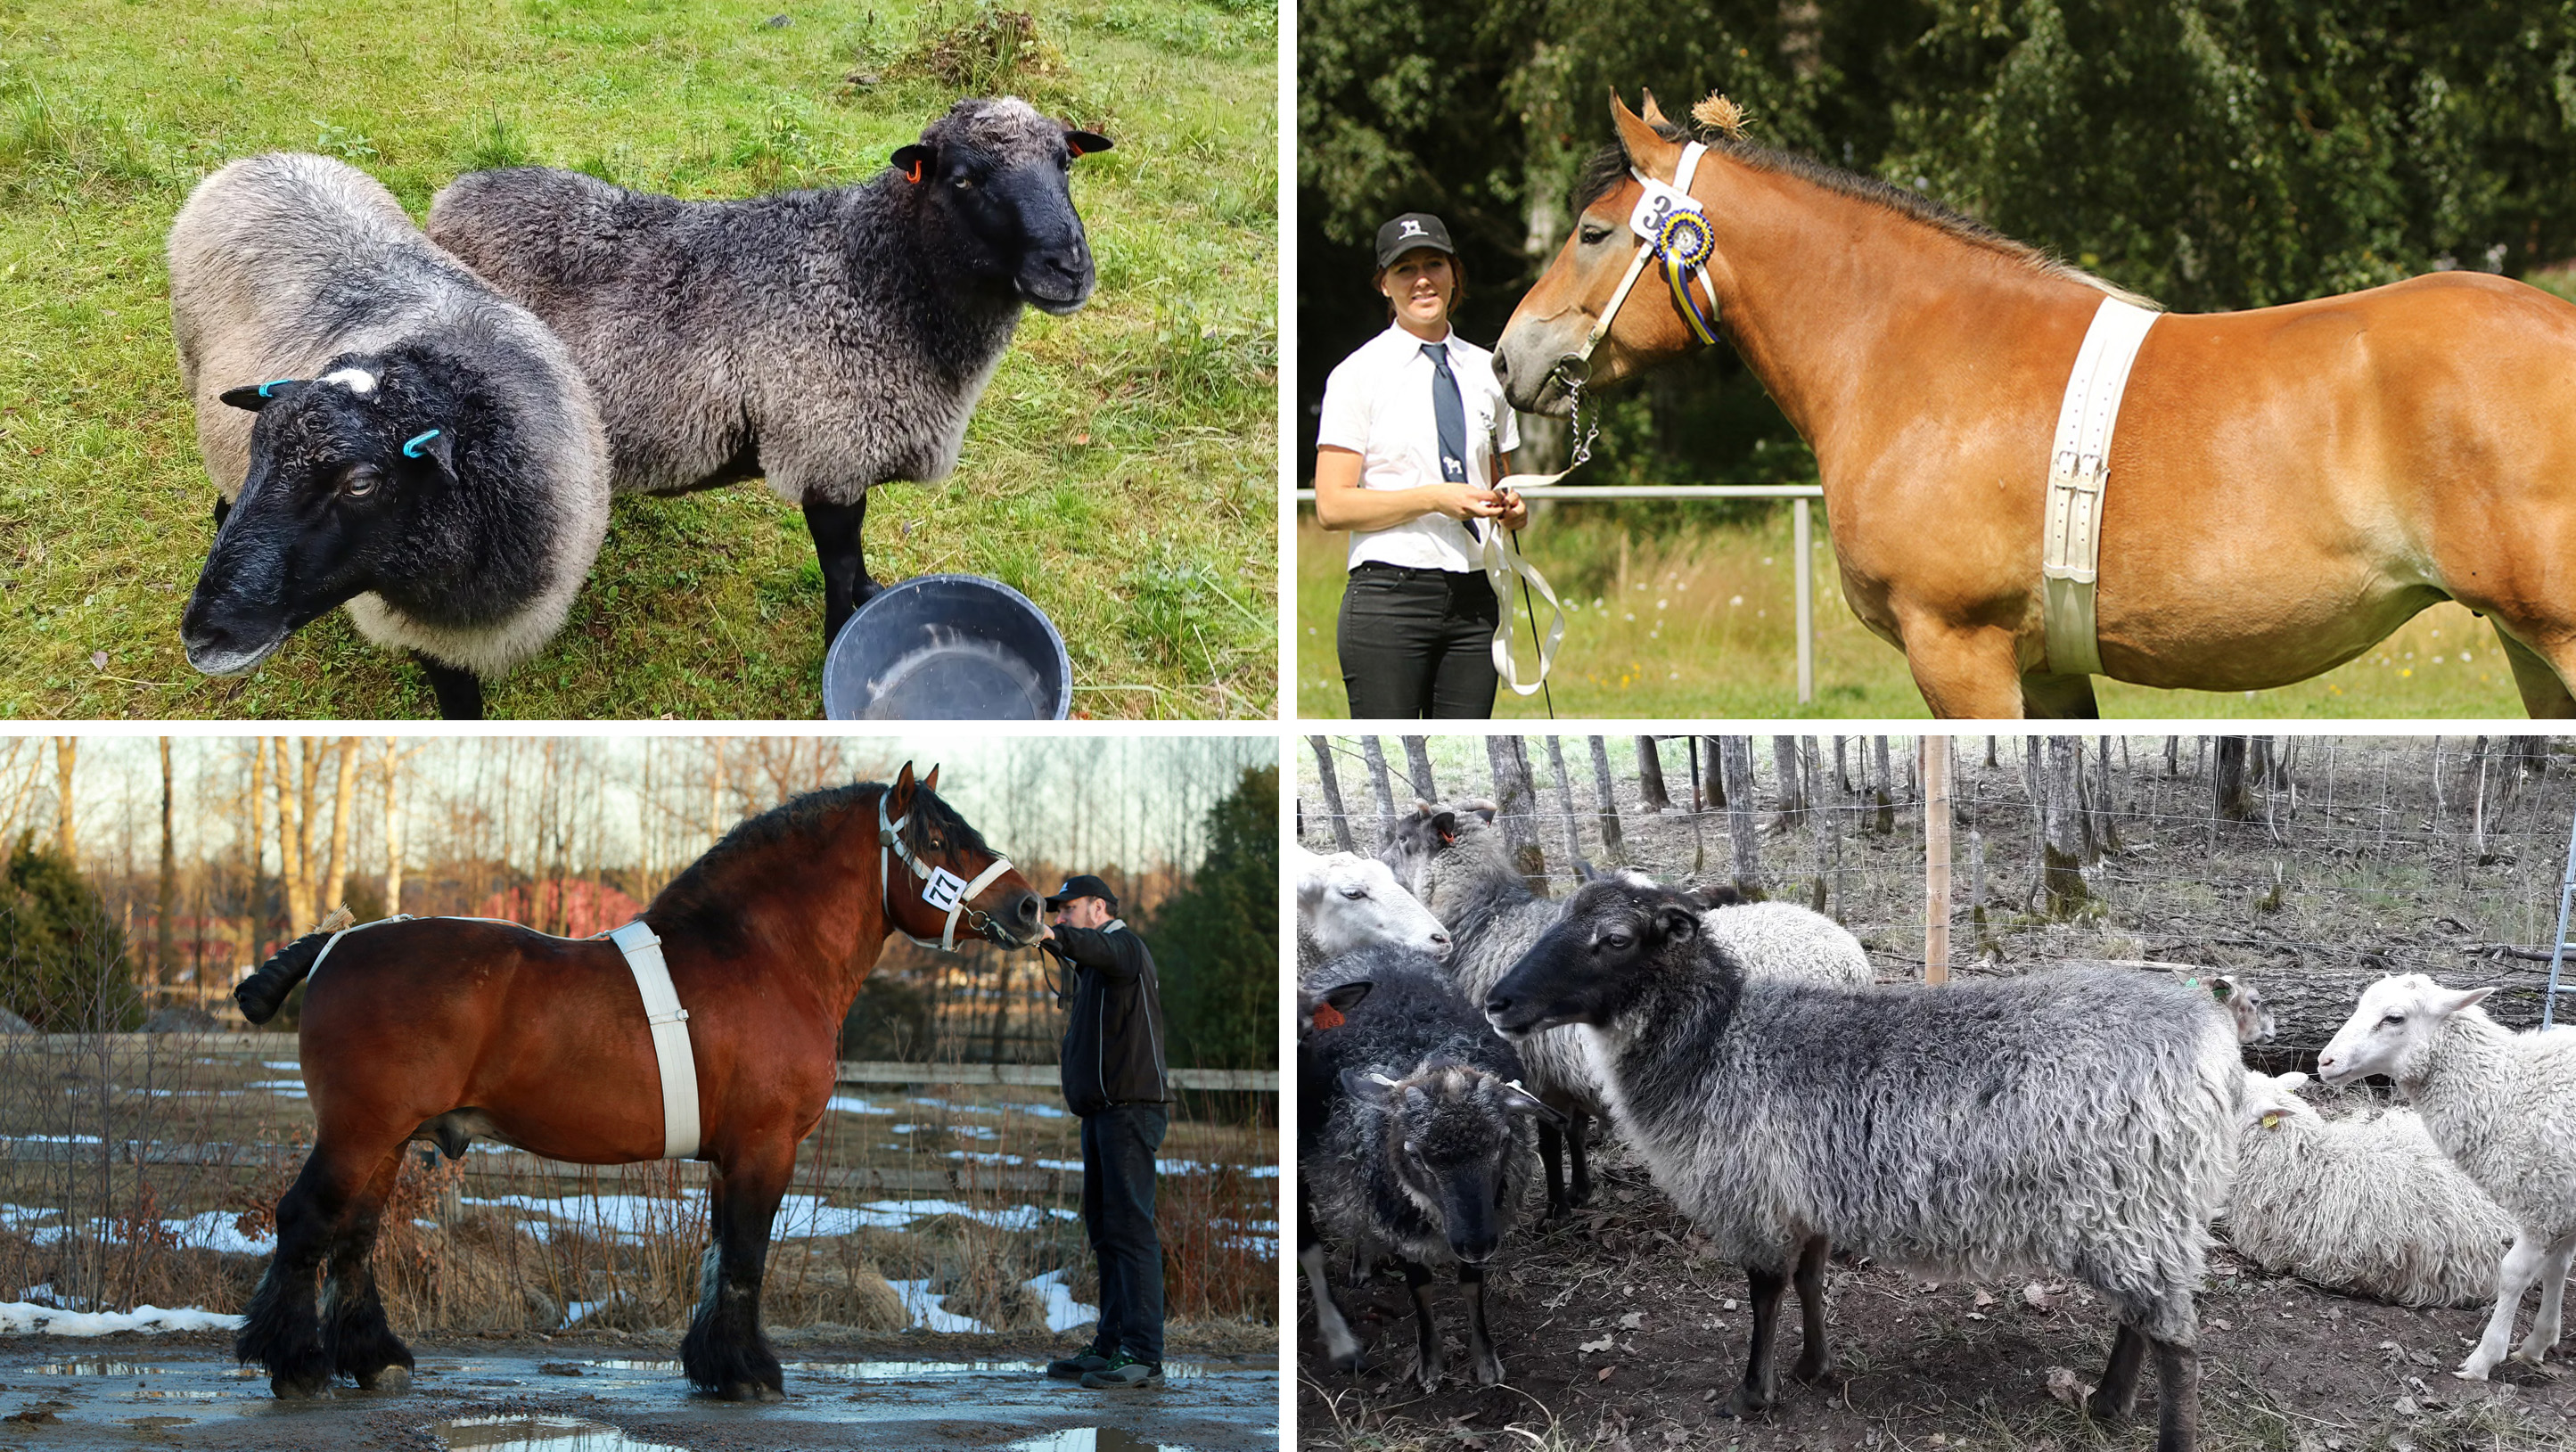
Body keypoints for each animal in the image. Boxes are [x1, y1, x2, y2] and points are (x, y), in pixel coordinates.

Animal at [226, 762, 1044, 1402]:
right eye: (936, 841)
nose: (1033, 905)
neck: (762, 953)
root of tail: (335, 942)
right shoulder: (764, 1147)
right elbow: (745, 1258)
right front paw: (749, 1372)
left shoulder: (730, 1157)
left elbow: (719, 1254)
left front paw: (716, 1364)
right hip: (359, 1133)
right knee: (306, 1221)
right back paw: (296, 1365)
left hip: (387, 1140)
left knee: (355, 1238)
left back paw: (374, 1360)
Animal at [425, 98, 1111, 649]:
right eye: (965, 177)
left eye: (1065, 163)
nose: (1069, 266)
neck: (875, 278)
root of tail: (449, 198)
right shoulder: (827, 454)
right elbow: (839, 562)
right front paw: (839, 636)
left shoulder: (848, 455)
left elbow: (858, 556)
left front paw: (874, 596)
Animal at [1301, 945, 1543, 1390]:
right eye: (1415, 1155)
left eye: (1503, 1141)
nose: (1476, 1243)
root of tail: (1372, 948)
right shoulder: (1402, 1221)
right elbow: (1420, 1286)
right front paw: (1430, 1363)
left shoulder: (1483, 1219)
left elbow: (1471, 1284)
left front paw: (1486, 1362)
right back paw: (1361, 1263)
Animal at [1487, 876, 2239, 1452]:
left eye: (1615, 938)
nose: (1498, 1001)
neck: (1716, 1040)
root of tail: (2212, 1044)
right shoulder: (1807, 1196)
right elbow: (1811, 1279)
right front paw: (1812, 1365)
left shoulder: (1754, 1195)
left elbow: (1765, 1291)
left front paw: (1752, 1392)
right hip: (2142, 1213)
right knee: (2143, 1315)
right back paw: (2109, 1402)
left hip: (2129, 1206)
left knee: (2177, 1339)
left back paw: (2162, 1431)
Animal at [2318, 974, 2576, 1379]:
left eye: (2394, 1018)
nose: (2324, 1062)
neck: (2510, 1094)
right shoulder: (2562, 1201)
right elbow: (2556, 1269)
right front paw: (2539, 1342)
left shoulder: (2541, 1202)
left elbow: (2514, 1274)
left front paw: (2485, 1358)